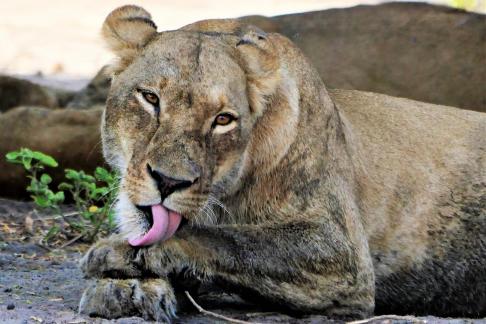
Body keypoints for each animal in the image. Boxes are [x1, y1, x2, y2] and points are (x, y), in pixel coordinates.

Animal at [79, 5, 486, 322]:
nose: (168, 182)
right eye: (150, 98)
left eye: (223, 120)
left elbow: (232, 240)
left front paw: (116, 254)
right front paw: (129, 288)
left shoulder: (340, 252)